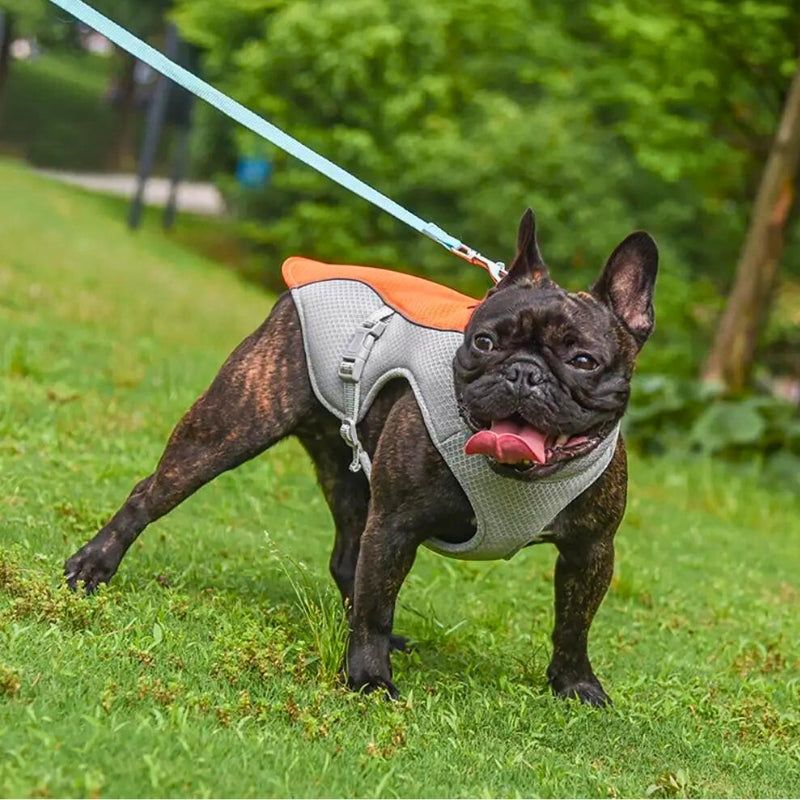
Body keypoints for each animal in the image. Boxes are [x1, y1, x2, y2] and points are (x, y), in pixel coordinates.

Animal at [65, 209, 656, 704]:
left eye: (583, 360)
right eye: (484, 342)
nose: (523, 372)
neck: (517, 475)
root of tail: (312, 274)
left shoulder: (590, 550)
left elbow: (574, 623)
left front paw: (575, 684)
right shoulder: (396, 525)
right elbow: (376, 606)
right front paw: (369, 679)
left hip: (349, 477)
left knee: (350, 558)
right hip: (229, 428)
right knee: (152, 493)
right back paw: (93, 565)